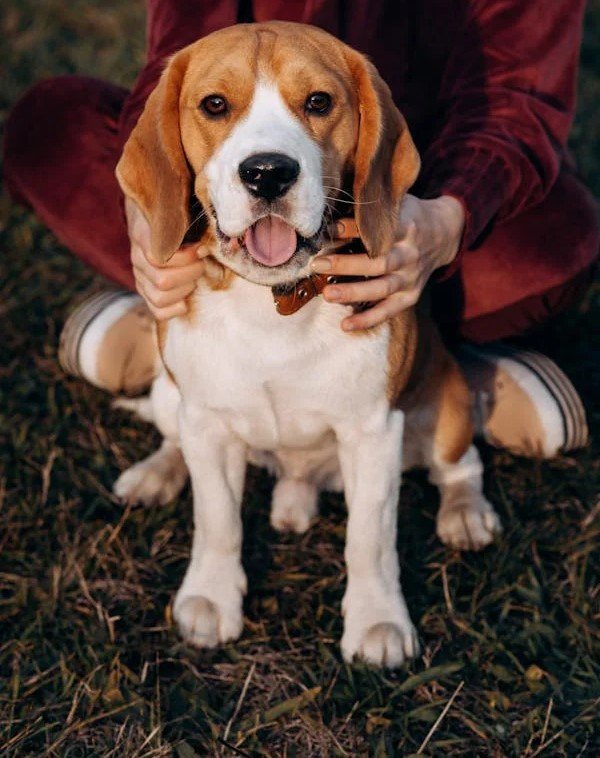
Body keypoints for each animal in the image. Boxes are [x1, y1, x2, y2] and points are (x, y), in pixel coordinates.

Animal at [113, 20, 502, 668]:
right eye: (214, 105)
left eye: (319, 102)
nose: (268, 172)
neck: (275, 304)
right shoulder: (208, 422)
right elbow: (217, 518)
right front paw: (211, 598)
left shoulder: (373, 432)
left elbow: (369, 539)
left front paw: (377, 622)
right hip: (174, 397)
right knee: (176, 440)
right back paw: (157, 474)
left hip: (446, 404)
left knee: (460, 466)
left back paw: (465, 515)